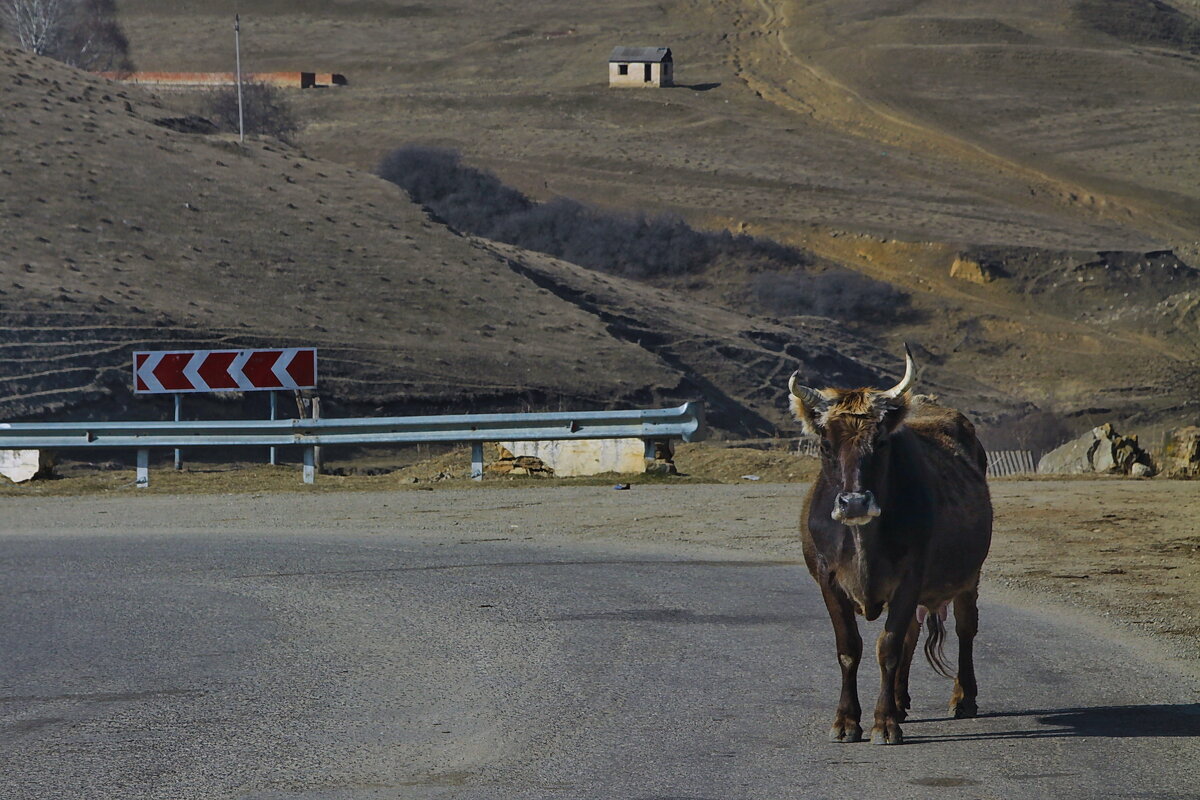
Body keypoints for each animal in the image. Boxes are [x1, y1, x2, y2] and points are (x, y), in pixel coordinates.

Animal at [787, 347, 993, 748]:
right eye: (825, 445)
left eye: (880, 442)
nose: (854, 503)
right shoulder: (828, 581)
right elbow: (849, 648)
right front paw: (847, 720)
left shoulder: (910, 580)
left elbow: (889, 647)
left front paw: (883, 723)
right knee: (914, 636)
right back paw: (899, 701)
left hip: (969, 576)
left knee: (965, 629)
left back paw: (963, 698)